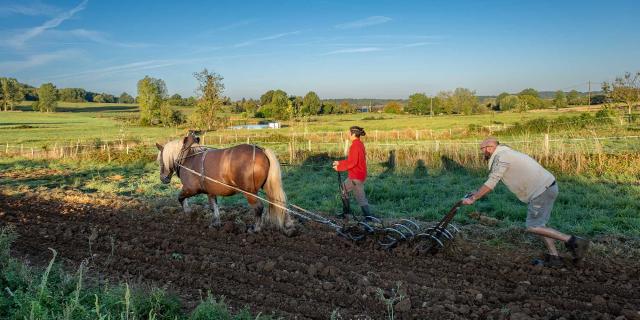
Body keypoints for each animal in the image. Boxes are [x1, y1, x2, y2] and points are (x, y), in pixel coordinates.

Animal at [155, 132, 296, 235]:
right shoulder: (210, 191)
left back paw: (255, 228)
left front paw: (187, 212)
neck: (187, 157)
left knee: (259, 208)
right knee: (279, 202)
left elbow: (180, 198)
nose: (163, 178)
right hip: (267, 187)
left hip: (250, 192)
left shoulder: (190, 189)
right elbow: (214, 207)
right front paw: (215, 223)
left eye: (160, 160)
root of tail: (261, 150)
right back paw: (288, 225)